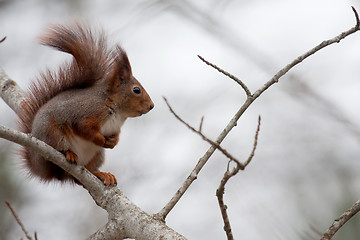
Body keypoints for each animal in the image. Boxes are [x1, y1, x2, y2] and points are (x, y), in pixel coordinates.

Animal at [18, 23, 153, 186]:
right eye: (136, 90)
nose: (152, 106)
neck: (116, 110)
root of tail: (37, 166)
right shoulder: (85, 112)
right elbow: (84, 129)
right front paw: (101, 139)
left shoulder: (115, 127)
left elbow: (116, 135)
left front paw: (114, 141)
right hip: (50, 132)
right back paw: (69, 154)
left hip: (97, 155)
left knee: (81, 176)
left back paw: (101, 174)